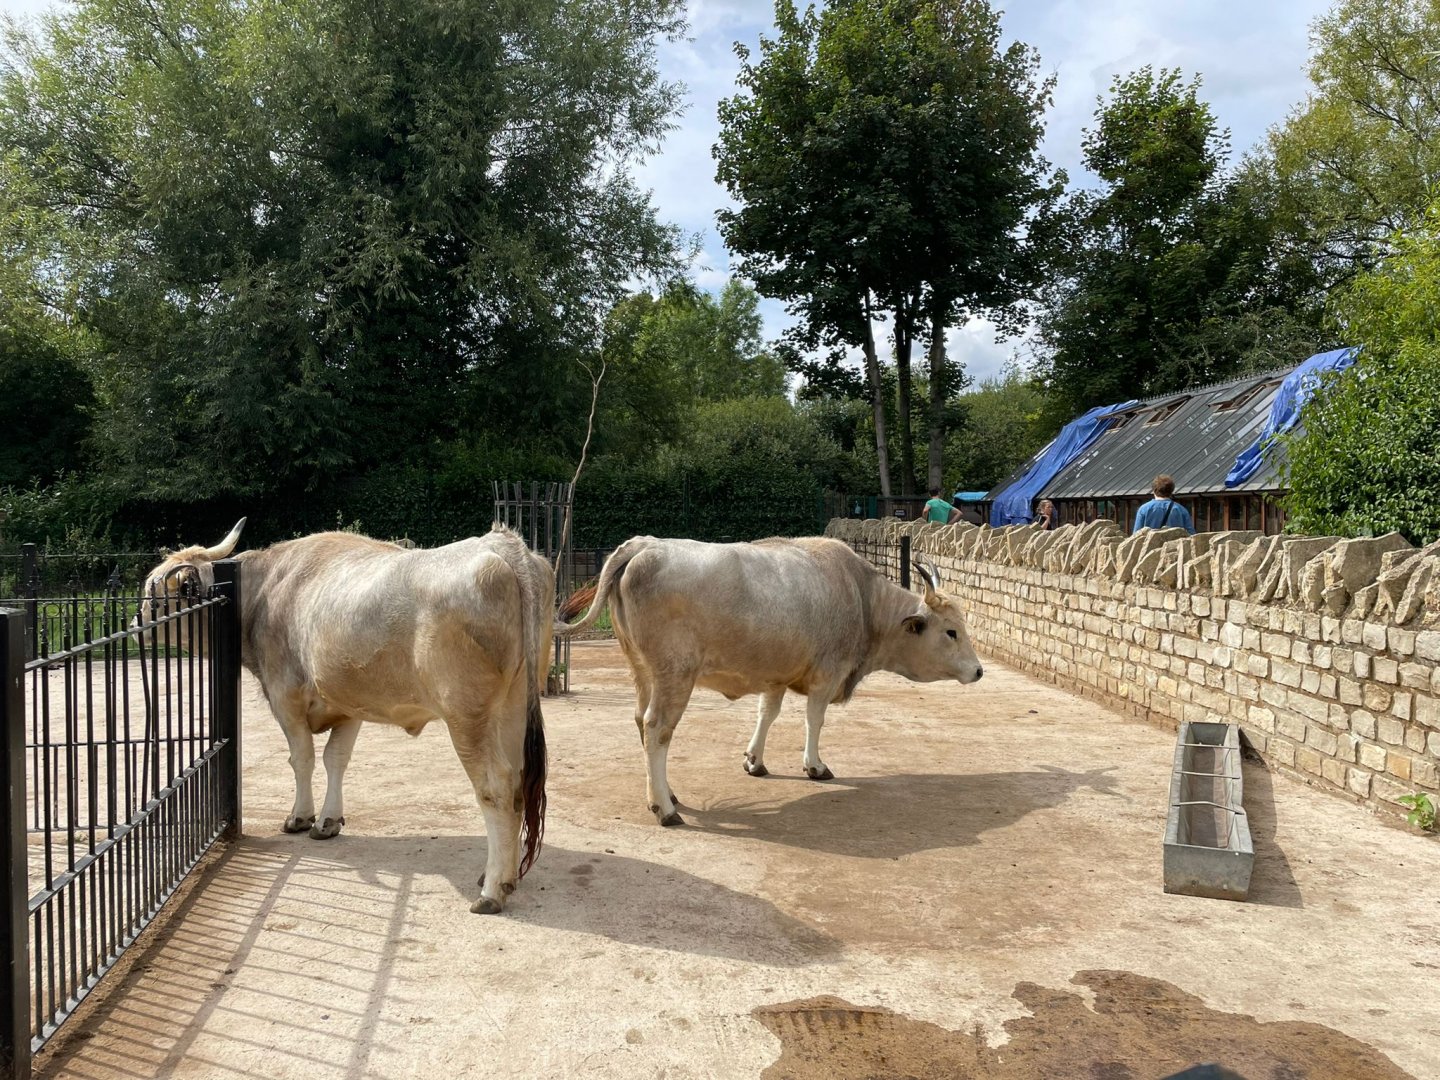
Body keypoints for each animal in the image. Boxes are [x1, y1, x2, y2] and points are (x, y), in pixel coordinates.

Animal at [141, 519, 552, 913]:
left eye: (156, 592)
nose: (136, 622)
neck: (263, 592)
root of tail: (502, 546)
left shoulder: (285, 697)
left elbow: (303, 759)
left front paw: (300, 817)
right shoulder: (348, 703)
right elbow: (335, 759)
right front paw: (328, 821)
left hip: (468, 716)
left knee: (497, 787)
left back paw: (492, 889)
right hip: (512, 708)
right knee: (519, 784)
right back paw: (504, 874)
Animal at [556, 536, 982, 825]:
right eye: (950, 632)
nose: (979, 670)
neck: (861, 599)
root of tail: (645, 545)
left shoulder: (776, 675)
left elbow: (768, 713)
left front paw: (754, 760)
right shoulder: (827, 674)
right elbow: (814, 720)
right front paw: (815, 766)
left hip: (642, 671)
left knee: (640, 722)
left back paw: (668, 794)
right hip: (674, 674)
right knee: (657, 728)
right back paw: (664, 807)